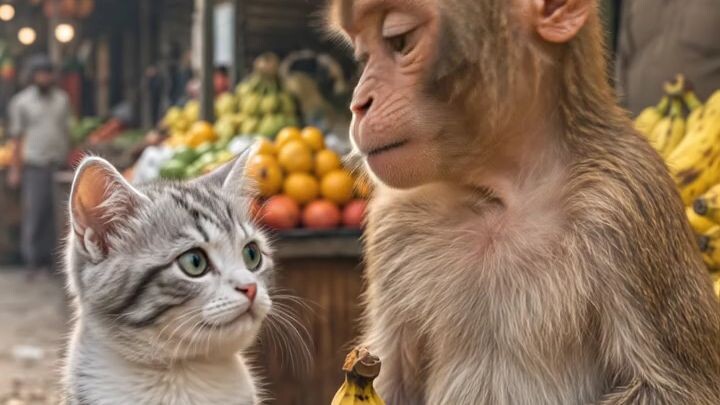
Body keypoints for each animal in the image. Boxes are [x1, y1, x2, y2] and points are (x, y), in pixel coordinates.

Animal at [326, 0, 720, 403]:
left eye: (400, 41)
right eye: (364, 55)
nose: (359, 105)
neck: (501, 195)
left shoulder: (625, 201)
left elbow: (670, 388)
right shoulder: (394, 217)